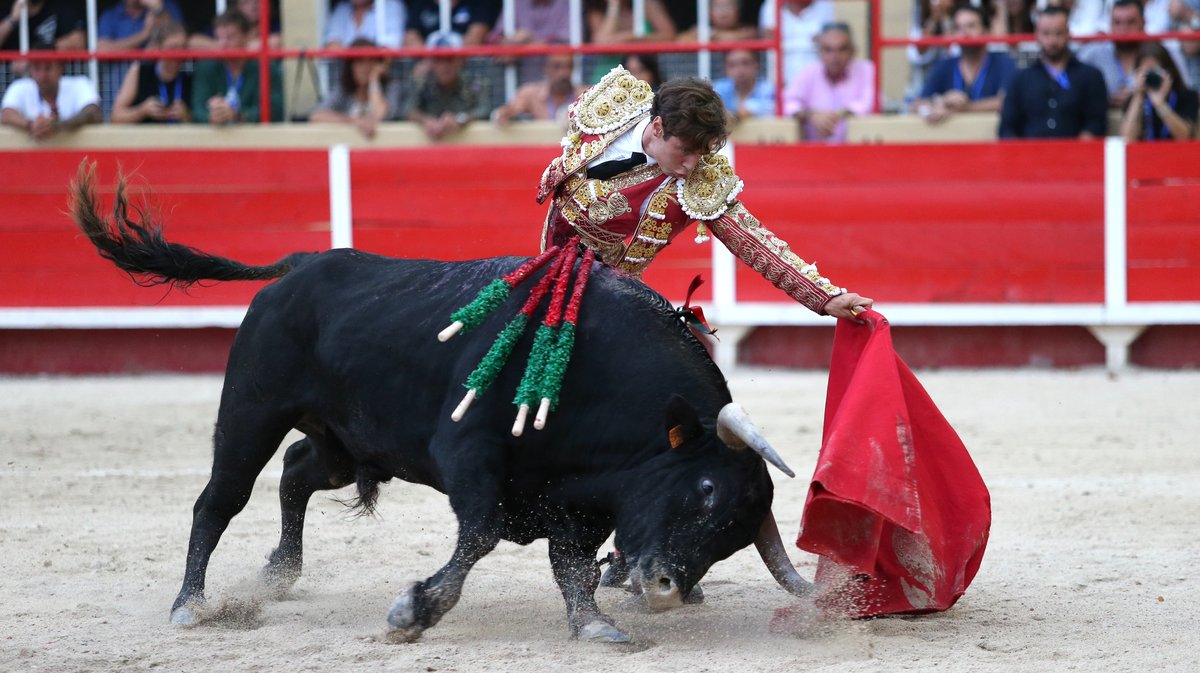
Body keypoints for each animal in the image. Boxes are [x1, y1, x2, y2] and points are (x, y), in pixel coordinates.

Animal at [70, 165, 811, 643]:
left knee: (299, 471)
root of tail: (301, 264)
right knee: (219, 498)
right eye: (707, 490)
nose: (664, 589)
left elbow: (570, 561)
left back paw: (279, 572)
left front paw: (595, 625)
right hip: (251, 410)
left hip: (347, 440)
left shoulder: (584, 494)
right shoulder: (470, 453)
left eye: (735, 537)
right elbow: (480, 534)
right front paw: (412, 613)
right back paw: (190, 605)